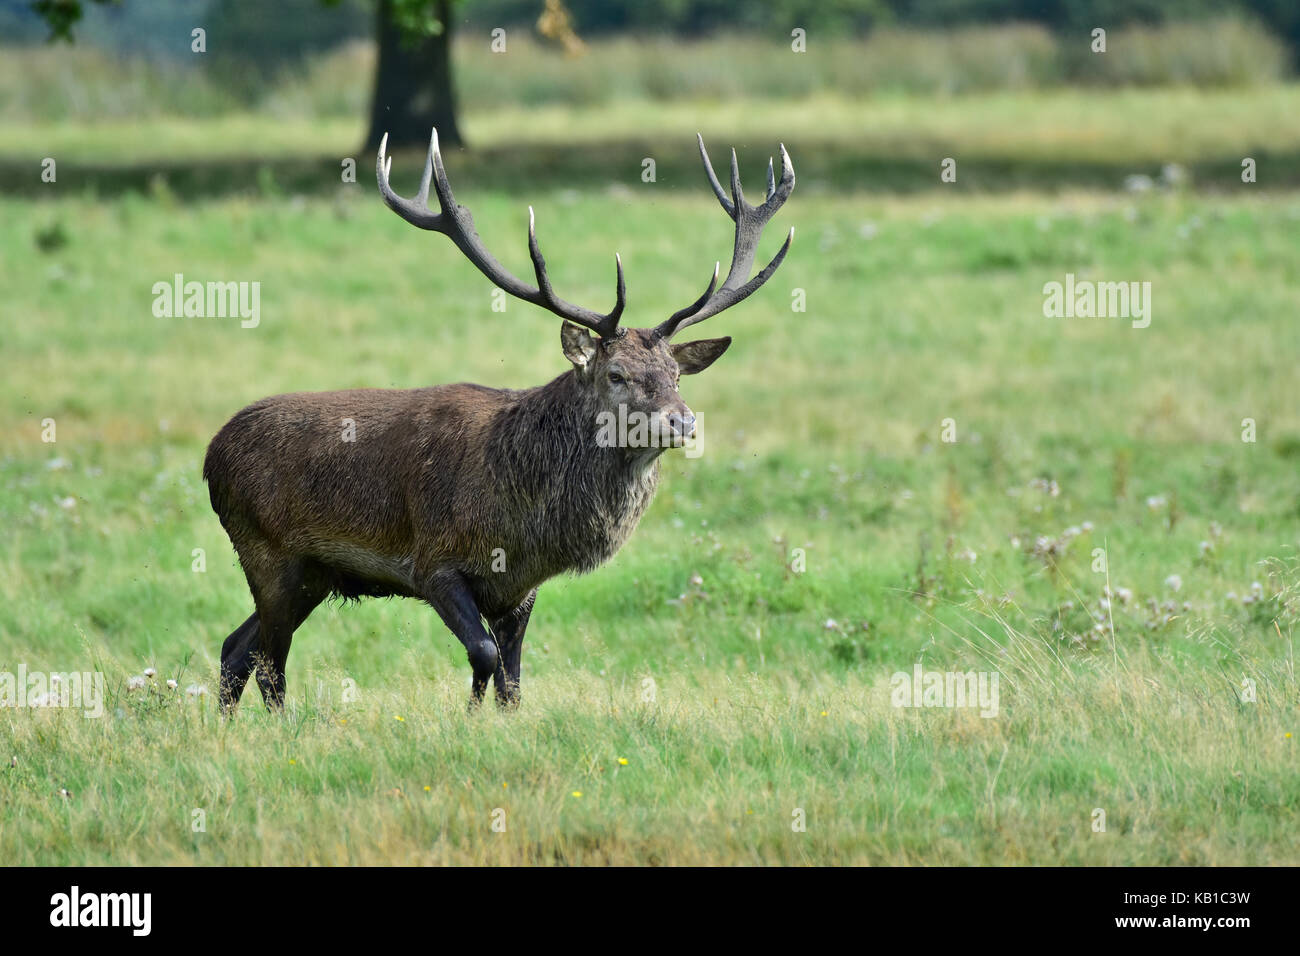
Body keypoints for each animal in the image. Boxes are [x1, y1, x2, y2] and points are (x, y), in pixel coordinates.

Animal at [204, 128, 794, 714]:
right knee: (270, 664)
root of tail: (211, 457)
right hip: (267, 551)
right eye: (617, 374)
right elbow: (483, 654)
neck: (521, 518)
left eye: (676, 373)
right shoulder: (433, 563)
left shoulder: (520, 588)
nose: (683, 422)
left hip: (315, 573)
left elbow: (512, 683)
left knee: (236, 648)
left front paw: (491, 720)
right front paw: (467, 718)